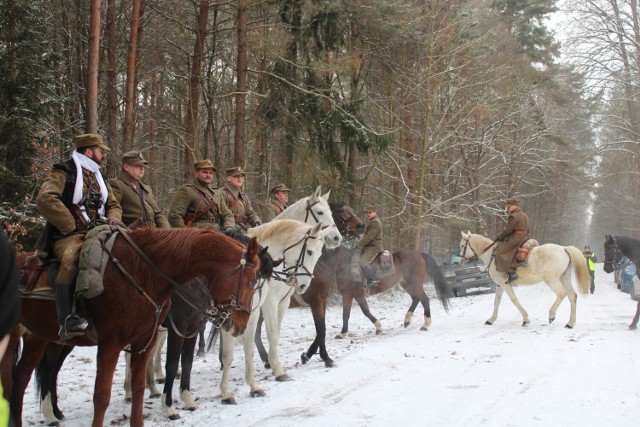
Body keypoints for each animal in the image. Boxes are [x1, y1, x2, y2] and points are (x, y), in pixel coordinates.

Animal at [5, 229, 260, 427]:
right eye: (250, 281)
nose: (240, 325)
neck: (144, 274)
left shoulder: (153, 339)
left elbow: (146, 384)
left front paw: (182, 399)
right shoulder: (113, 343)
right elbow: (103, 395)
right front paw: (169, 406)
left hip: (42, 339)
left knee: (21, 379)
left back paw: (53, 413)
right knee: (41, 373)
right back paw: (50, 414)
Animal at [219, 221, 330, 404]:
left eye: (320, 254)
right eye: (309, 251)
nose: (303, 286)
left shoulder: (282, 303)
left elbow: (275, 335)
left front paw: (275, 366)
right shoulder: (269, 303)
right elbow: (272, 335)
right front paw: (278, 370)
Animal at [460, 231, 592, 328]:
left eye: (462, 246)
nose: (460, 260)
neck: (492, 257)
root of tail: (564, 249)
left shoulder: (505, 284)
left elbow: (514, 300)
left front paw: (525, 319)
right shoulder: (499, 285)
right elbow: (497, 302)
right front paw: (491, 320)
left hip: (552, 280)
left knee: (561, 294)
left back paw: (551, 315)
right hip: (564, 278)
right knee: (572, 296)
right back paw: (570, 323)